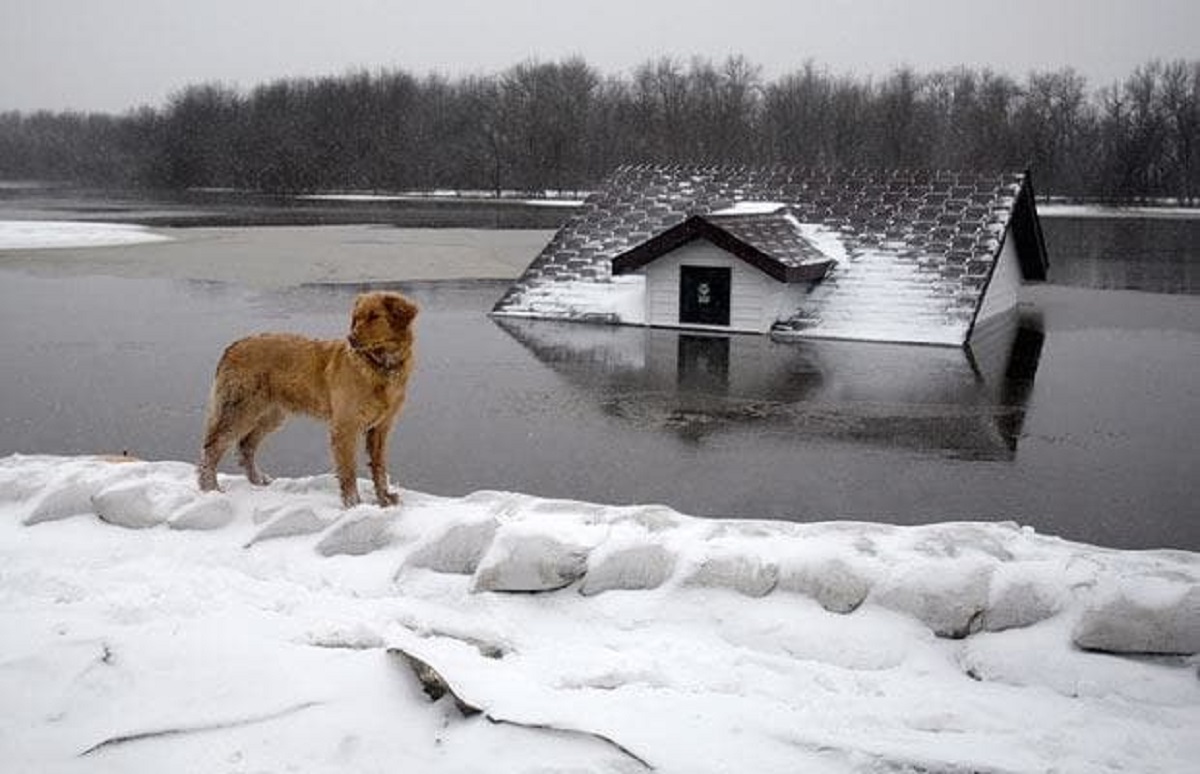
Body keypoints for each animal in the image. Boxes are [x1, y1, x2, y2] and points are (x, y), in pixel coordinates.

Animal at [196, 290, 417, 506]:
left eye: (374, 316)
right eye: (357, 318)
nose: (351, 338)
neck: (380, 366)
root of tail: (234, 345)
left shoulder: (381, 427)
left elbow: (379, 468)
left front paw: (384, 499)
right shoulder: (345, 425)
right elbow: (348, 470)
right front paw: (353, 503)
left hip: (271, 415)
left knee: (246, 446)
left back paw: (257, 480)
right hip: (241, 410)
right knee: (212, 447)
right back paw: (210, 488)